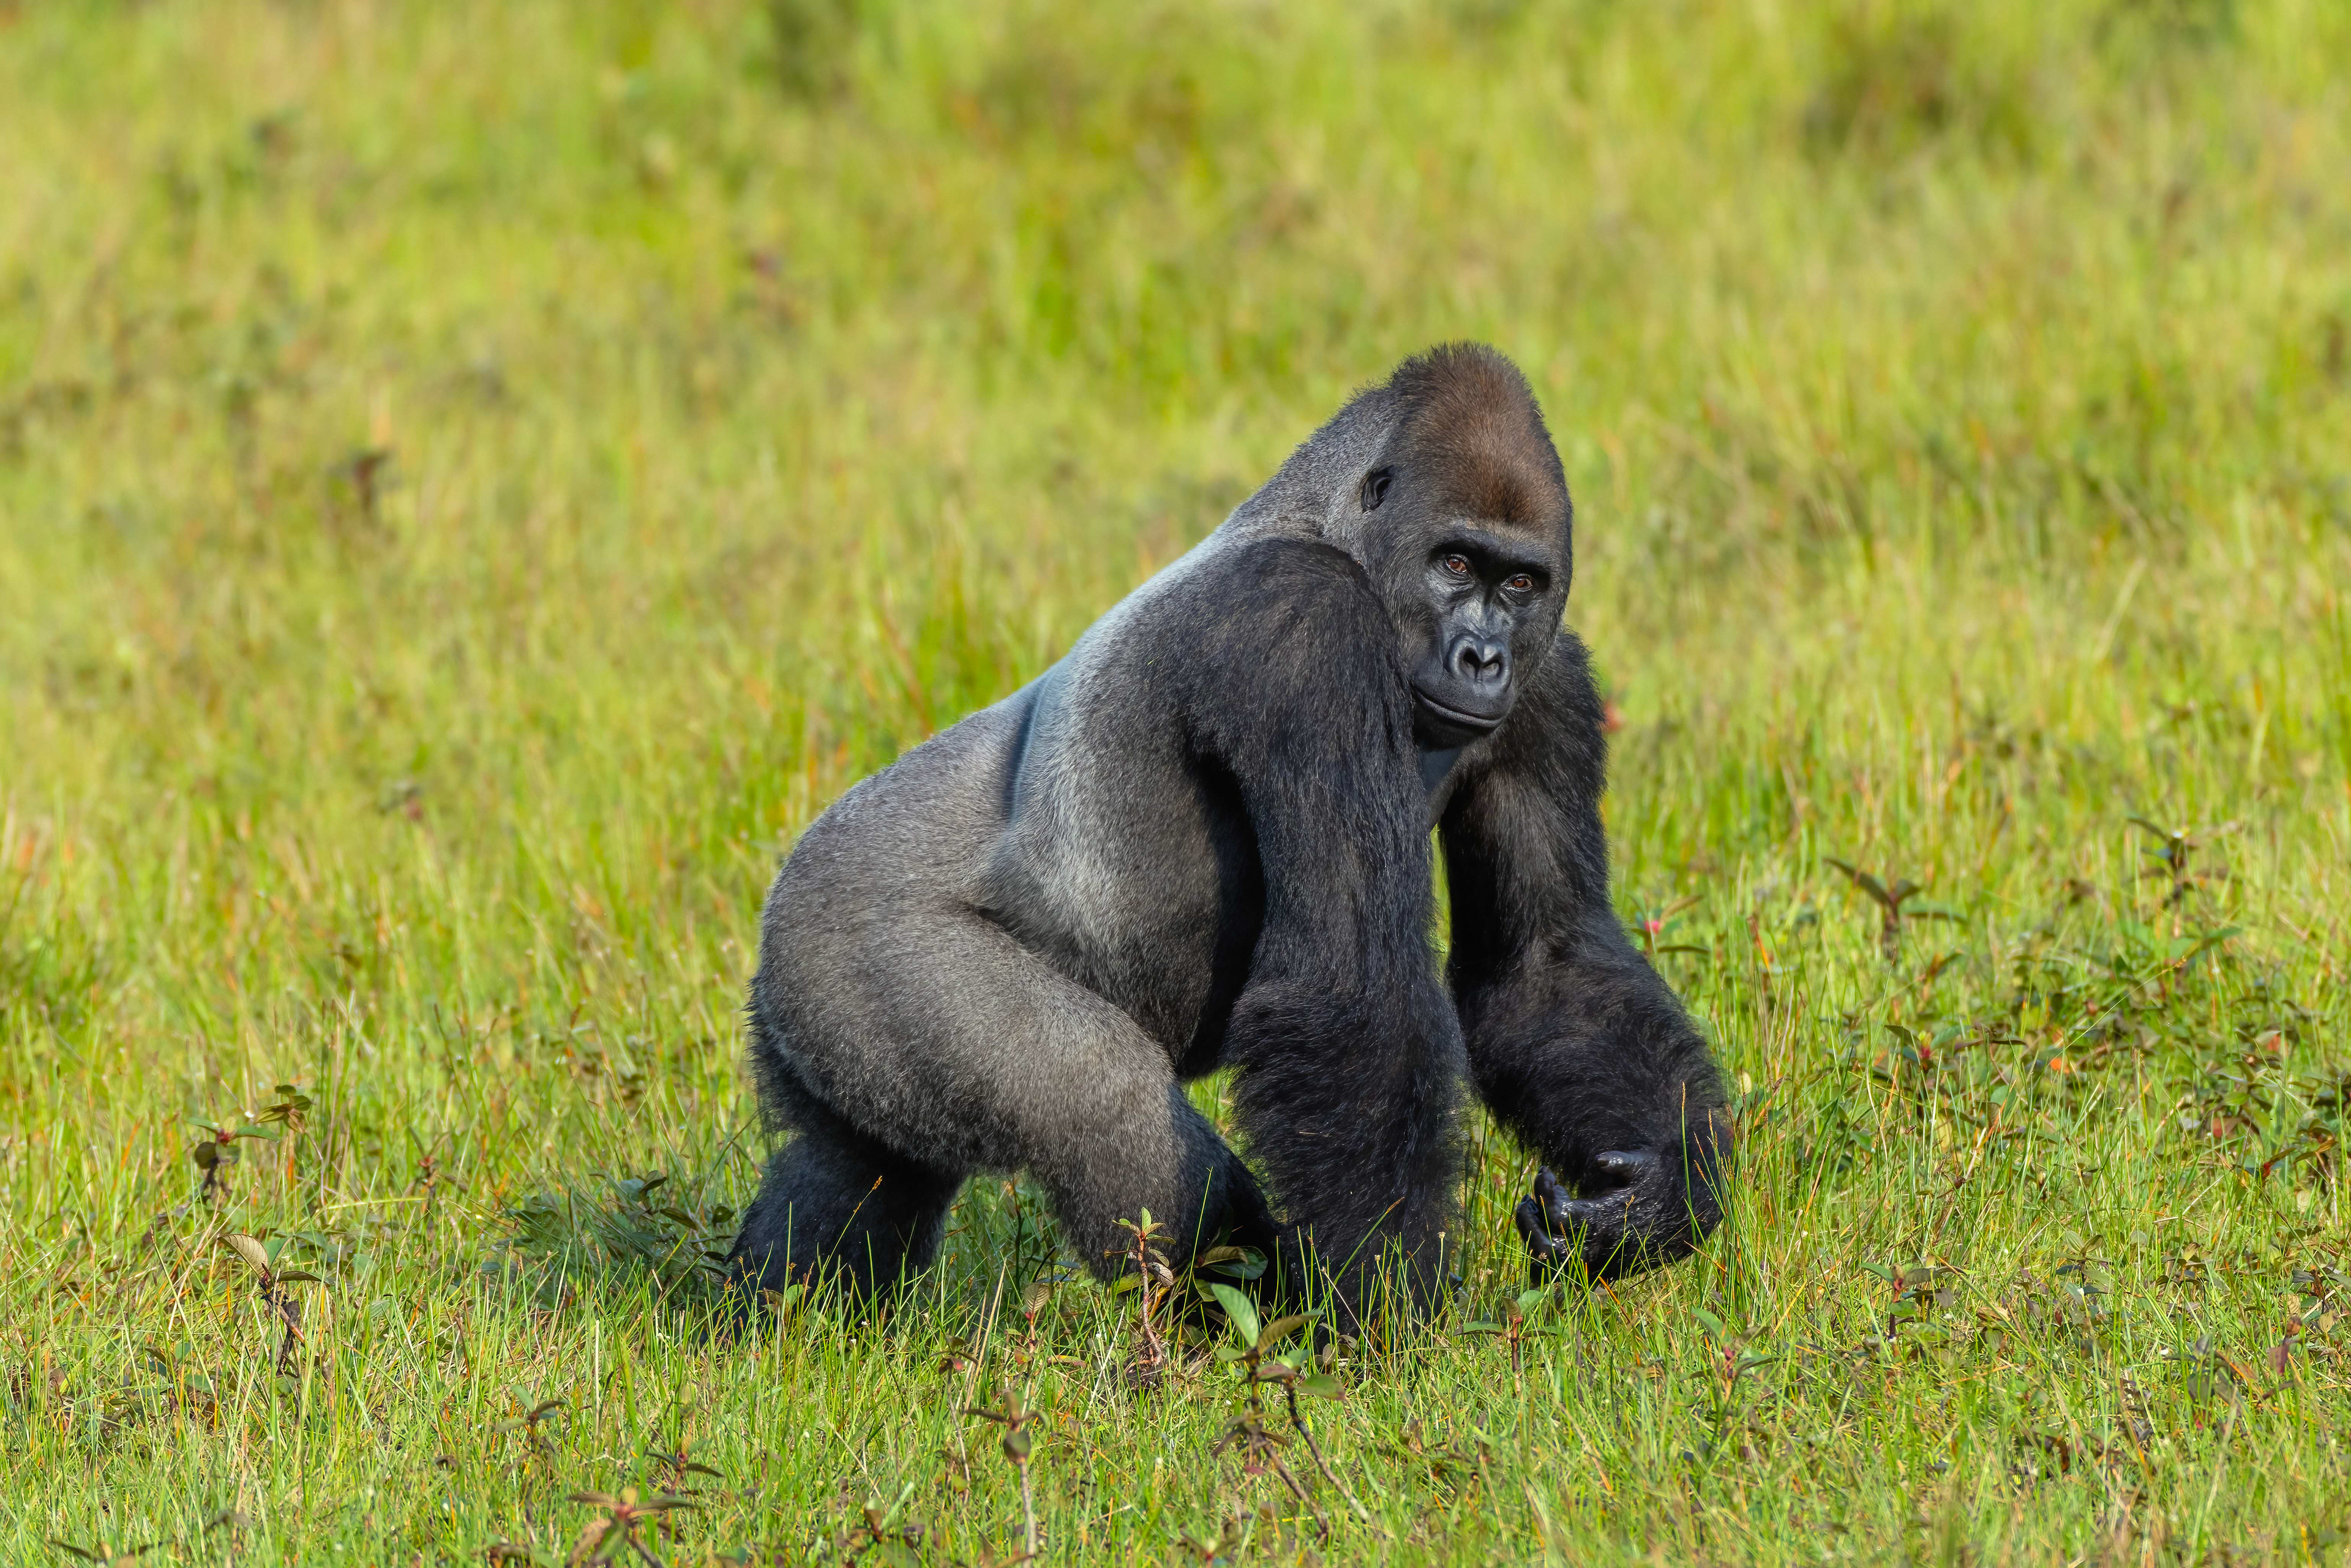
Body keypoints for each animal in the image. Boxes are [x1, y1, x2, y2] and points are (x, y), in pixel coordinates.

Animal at [727, 344, 1728, 1325]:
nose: (1482, 658)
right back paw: (1251, 1323)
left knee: (856, 1167)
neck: (1332, 524)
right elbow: (1346, 985)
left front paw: (1654, 1195)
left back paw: (783, 1311)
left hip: (821, 1012)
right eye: (1454, 564)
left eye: (1519, 582)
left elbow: (1541, 964)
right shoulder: (1303, 626)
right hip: (851, 937)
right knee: (1106, 1110)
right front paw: (1391, 1310)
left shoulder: (1551, 676)